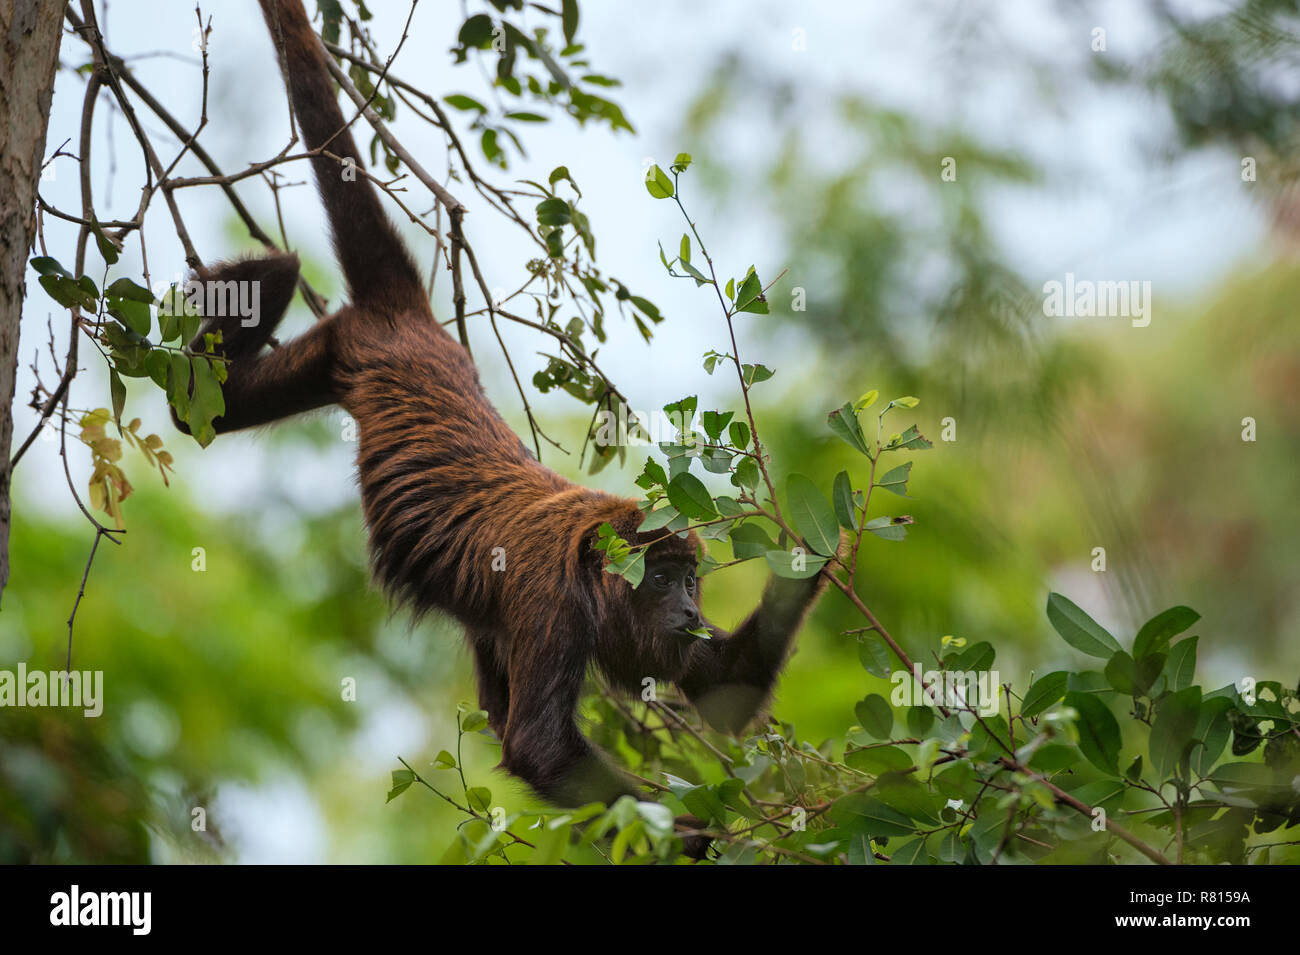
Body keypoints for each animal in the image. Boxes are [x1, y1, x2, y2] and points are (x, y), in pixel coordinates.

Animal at [180, 1, 832, 815]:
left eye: (691, 582)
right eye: (659, 579)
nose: (687, 609)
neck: (595, 569)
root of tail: (416, 325)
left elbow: (722, 689)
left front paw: (817, 551)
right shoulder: (550, 597)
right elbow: (539, 746)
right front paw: (692, 831)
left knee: (208, 410)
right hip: (349, 348)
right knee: (204, 407)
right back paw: (262, 275)